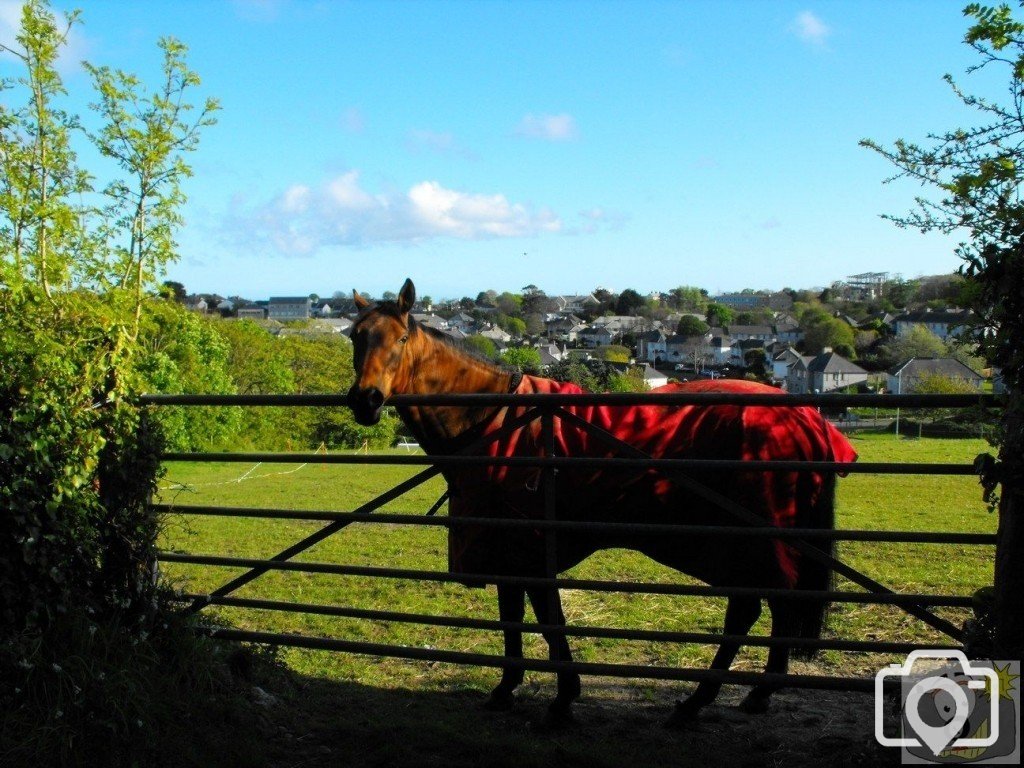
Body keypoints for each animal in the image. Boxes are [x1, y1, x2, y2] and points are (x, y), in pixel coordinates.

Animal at [348, 278, 860, 729]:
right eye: (356, 336)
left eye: (400, 338)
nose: (365, 400)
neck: (496, 420)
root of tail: (803, 417)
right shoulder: (507, 551)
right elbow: (513, 619)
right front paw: (507, 688)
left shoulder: (531, 551)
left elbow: (549, 623)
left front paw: (562, 700)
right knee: (765, 606)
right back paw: (745, 695)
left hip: (750, 542)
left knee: (757, 607)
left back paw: (705, 700)